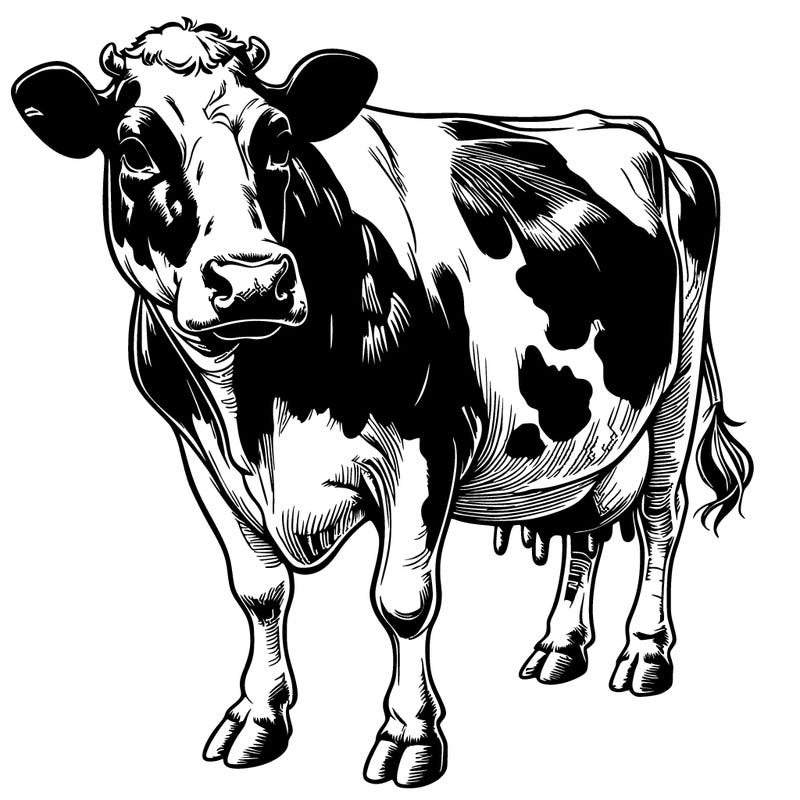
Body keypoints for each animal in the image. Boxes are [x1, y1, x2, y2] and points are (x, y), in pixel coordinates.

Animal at [12, 19, 752, 788]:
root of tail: (649, 142)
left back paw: (645, 653)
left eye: (278, 138)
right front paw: (258, 719)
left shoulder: (426, 447)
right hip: (591, 429)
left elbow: (403, 602)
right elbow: (259, 592)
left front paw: (410, 737)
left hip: (676, 391)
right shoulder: (204, 458)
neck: (253, 403)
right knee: (585, 526)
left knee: (660, 519)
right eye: (134, 149)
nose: (252, 282)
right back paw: (561, 648)